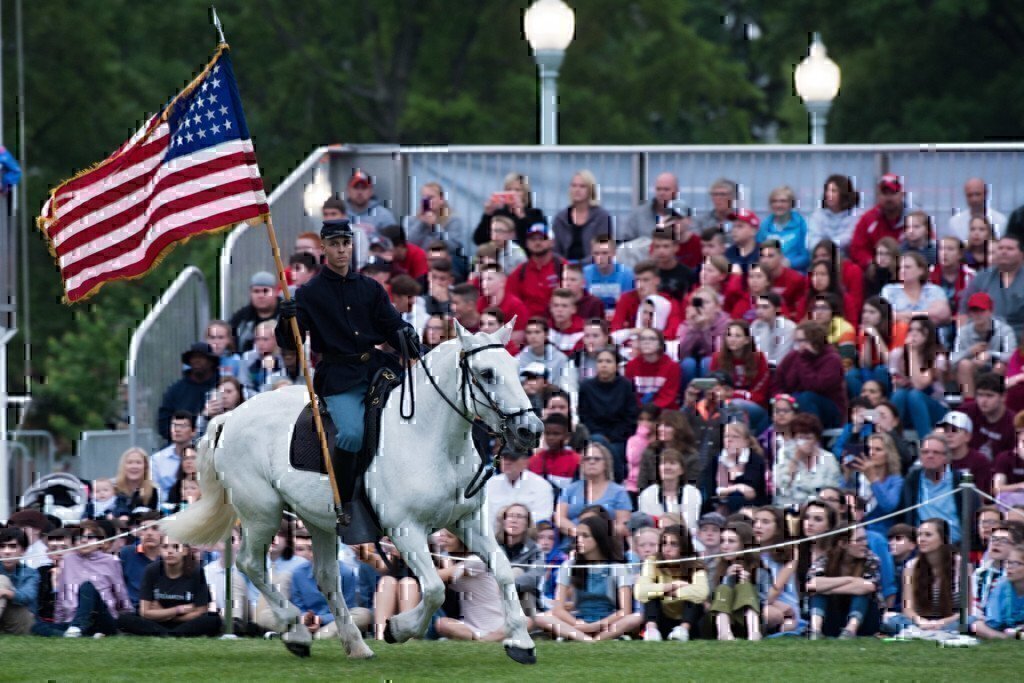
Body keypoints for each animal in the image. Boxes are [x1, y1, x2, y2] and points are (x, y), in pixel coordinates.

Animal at [161, 323, 544, 663]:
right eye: (487, 373)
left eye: (516, 370)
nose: (530, 430)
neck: (429, 438)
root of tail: (231, 417)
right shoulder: (406, 530)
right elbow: (435, 589)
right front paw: (398, 629)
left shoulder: (467, 522)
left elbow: (503, 570)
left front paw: (521, 643)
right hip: (262, 514)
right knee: (250, 564)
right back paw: (295, 629)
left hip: (318, 521)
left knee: (326, 577)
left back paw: (355, 645)